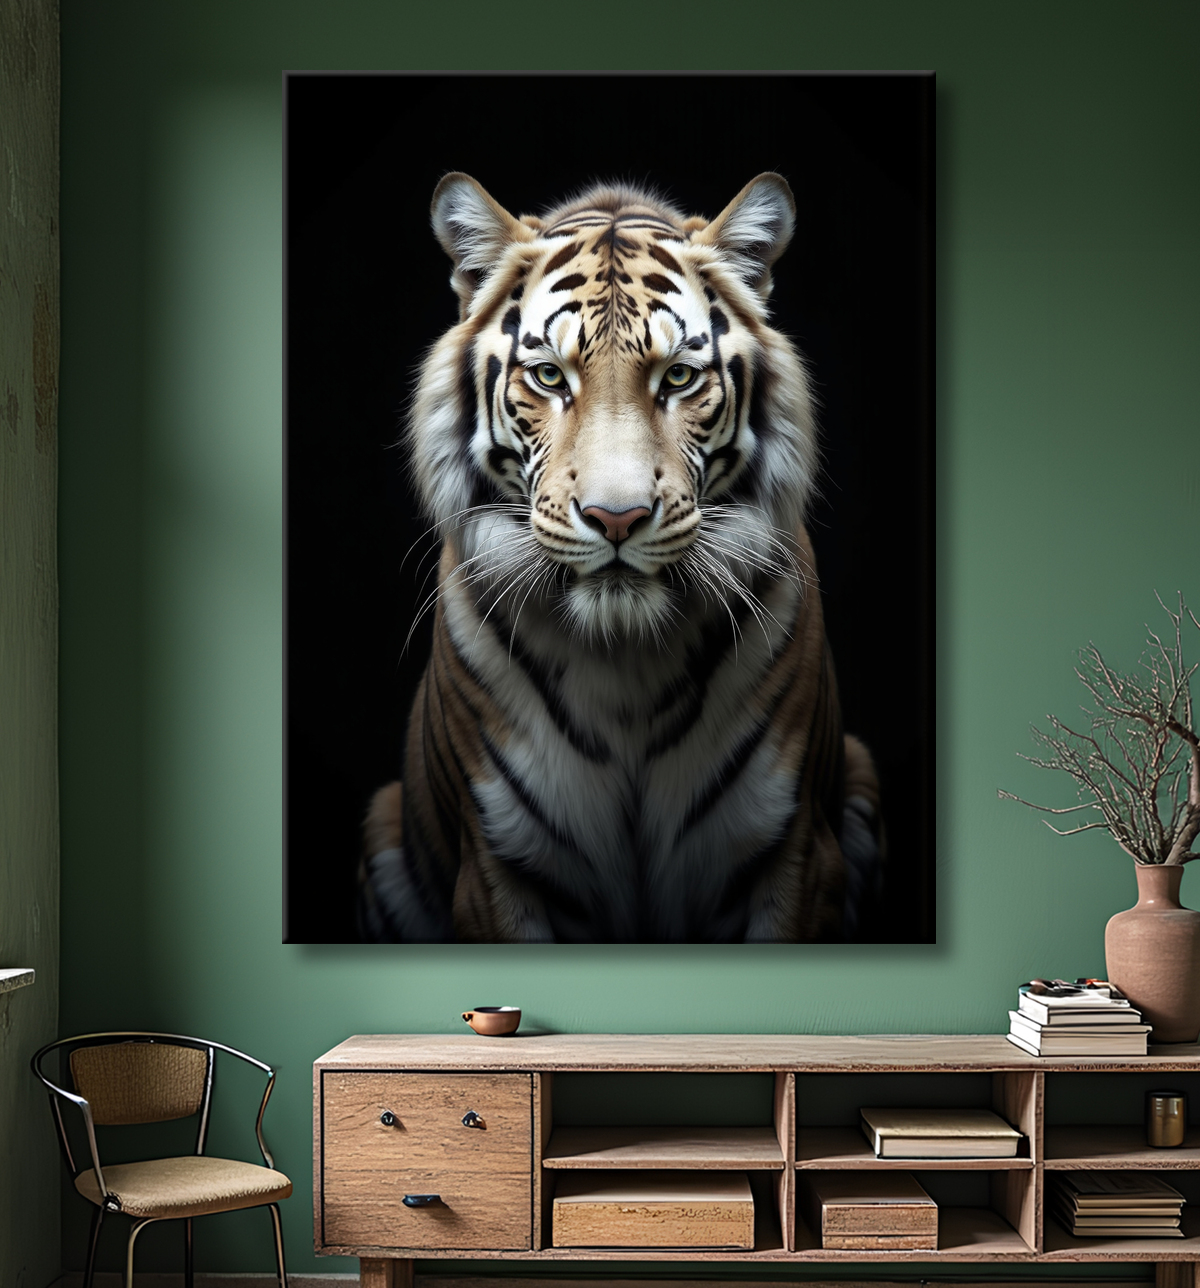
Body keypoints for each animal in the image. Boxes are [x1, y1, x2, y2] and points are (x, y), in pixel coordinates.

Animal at [357, 171, 884, 943]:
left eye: (679, 378)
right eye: (549, 377)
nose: (617, 517)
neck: (624, 662)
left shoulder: (795, 852)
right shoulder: (497, 867)